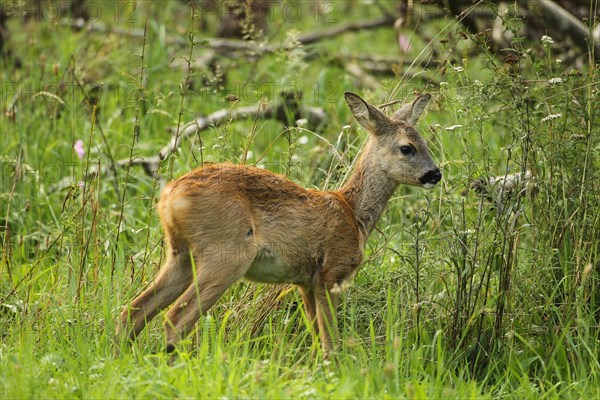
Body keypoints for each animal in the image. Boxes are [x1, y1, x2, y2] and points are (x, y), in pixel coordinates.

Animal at [116, 91, 440, 356]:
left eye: (425, 143)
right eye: (407, 148)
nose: (435, 174)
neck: (354, 214)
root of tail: (169, 196)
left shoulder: (305, 281)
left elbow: (316, 337)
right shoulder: (330, 272)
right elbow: (330, 341)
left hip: (181, 254)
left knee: (133, 311)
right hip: (227, 254)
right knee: (174, 319)